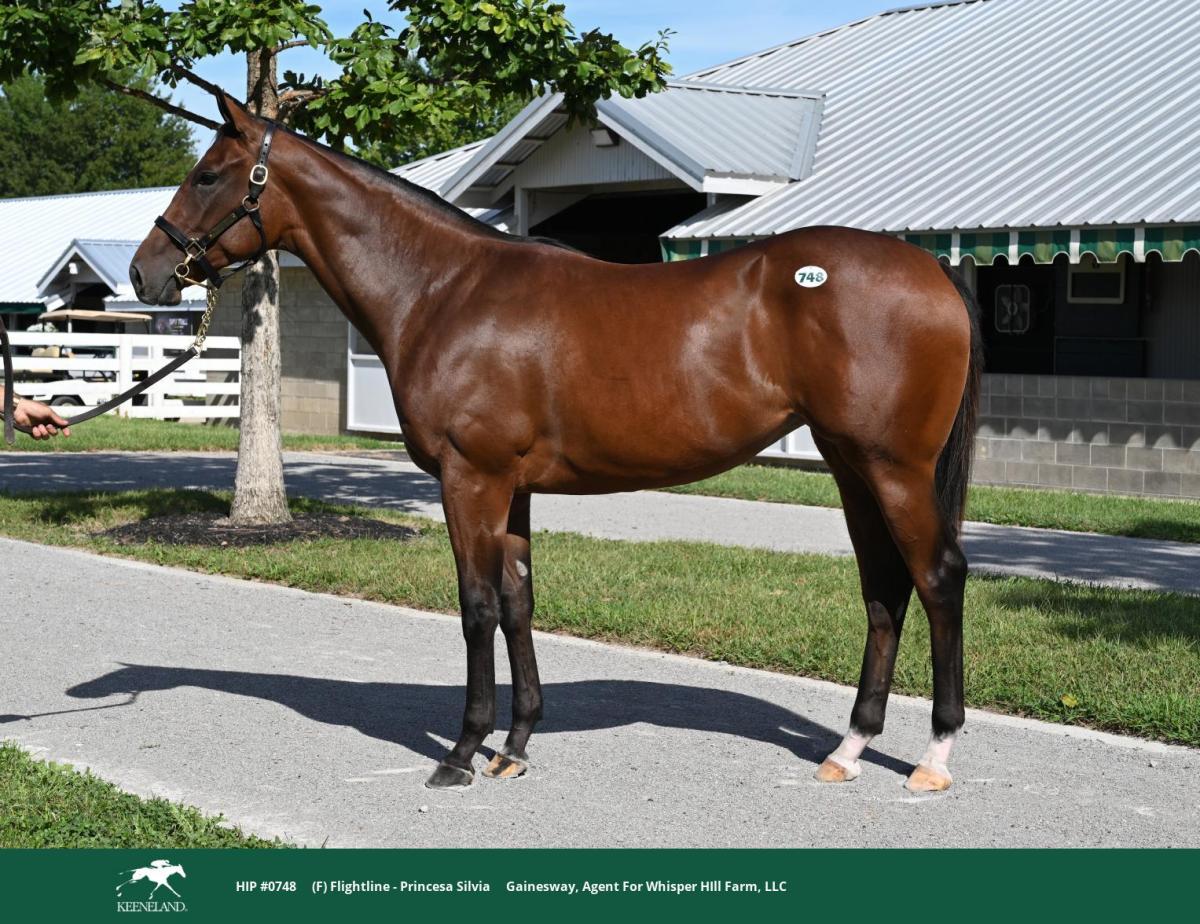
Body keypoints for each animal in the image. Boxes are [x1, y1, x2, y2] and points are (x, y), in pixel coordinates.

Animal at [130, 92, 981, 794]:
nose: (146, 273)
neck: (443, 290)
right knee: (884, 588)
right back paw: (850, 749)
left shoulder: (470, 479)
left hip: (893, 468)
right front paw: (514, 745)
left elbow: (476, 606)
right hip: (850, 467)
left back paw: (935, 757)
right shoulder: (514, 489)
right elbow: (518, 602)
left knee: (937, 577)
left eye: (209, 174)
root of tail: (931, 267)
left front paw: (461, 752)